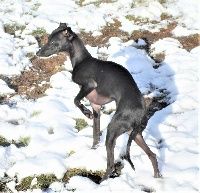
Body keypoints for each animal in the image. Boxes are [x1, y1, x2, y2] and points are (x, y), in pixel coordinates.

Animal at [36, 23, 162, 182]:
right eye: (48, 39)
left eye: (53, 42)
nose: (37, 53)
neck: (81, 60)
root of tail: (140, 112)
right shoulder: (96, 108)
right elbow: (95, 136)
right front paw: (93, 150)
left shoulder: (90, 85)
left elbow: (75, 100)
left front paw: (86, 113)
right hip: (135, 134)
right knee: (152, 155)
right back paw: (157, 177)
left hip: (113, 130)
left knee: (111, 165)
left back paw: (102, 183)